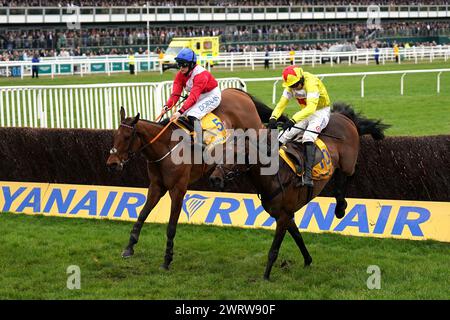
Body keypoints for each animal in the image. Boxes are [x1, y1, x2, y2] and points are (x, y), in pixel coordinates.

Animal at [105, 87, 284, 270]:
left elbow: (171, 226)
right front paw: (129, 247)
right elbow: (142, 214)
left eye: (127, 137)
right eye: (115, 135)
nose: (112, 163)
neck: (166, 147)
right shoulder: (156, 186)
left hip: (256, 128)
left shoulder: (178, 189)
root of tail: (237, 92)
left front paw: (167, 259)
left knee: (269, 137)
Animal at [209, 103, 388, 280]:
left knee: (349, 173)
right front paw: (308, 260)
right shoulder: (287, 215)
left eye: (236, 154)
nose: (215, 179)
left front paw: (266, 276)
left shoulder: (283, 217)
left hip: (347, 161)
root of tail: (343, 116)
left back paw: (340, 207)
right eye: (222, 151)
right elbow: (298, 237)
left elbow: (274, 250)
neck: (275, 175)